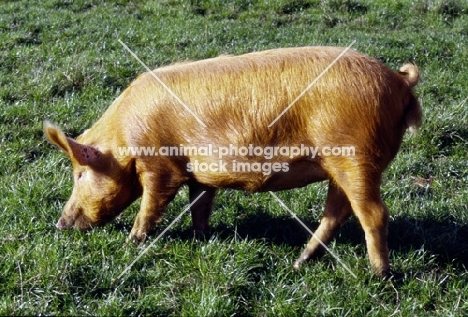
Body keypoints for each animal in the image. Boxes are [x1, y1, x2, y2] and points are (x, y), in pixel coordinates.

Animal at [45, 45, 422, 276]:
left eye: (80, 175)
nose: (60, 225)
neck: (125, 138)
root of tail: (399, 79)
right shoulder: (199, 174)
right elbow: (199, 204)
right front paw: (200, 237)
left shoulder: (160, 166)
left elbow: (151, 205)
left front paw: (130, 243)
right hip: (340, 166)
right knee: (336, 212)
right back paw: (299, 262)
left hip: (355, 157)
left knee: (374, 213)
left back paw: (379, 275)